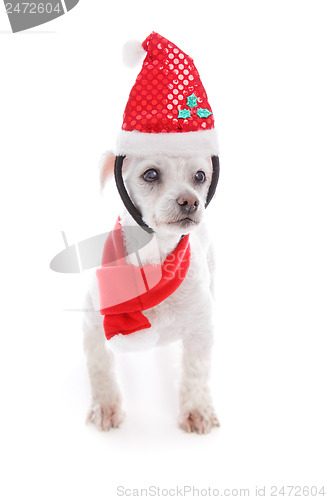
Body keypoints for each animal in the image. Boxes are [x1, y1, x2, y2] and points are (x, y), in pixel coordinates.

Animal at [82, 151, 220, 434]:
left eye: (200, 176)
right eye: (151, 174)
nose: (191, 201)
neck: (152, 264)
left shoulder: (201, 328)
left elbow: (196, 371)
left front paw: (196, 409)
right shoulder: (92, 324)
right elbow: (99, 365)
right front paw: (105, 406)